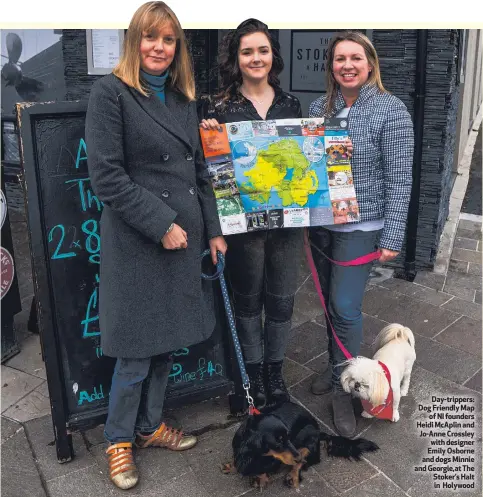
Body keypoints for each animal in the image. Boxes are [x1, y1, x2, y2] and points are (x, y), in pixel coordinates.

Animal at [222, 400, 378, 488]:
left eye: (288, 437)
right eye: (279, 441)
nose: (297, 457)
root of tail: (319, 431)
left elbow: (264, 469)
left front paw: (260, 479)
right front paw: (231, 466)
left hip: (308, 437)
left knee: (308, 459)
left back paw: (292, 475)